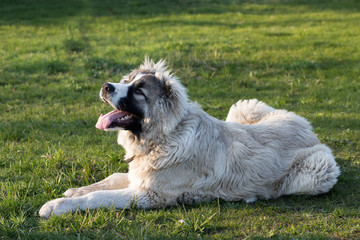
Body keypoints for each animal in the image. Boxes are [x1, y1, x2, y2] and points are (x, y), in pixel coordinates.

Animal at [39, 58, 340, 218]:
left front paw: (56, 205)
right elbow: (111, 179)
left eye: (138, 91)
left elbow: (99, 197)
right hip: (243, 107)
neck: (165, 136)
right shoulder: (139, 177)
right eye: (127, 81)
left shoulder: (150, 194)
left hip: (317, 170)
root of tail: (307, 127)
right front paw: (75, 190)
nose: (105, 86)